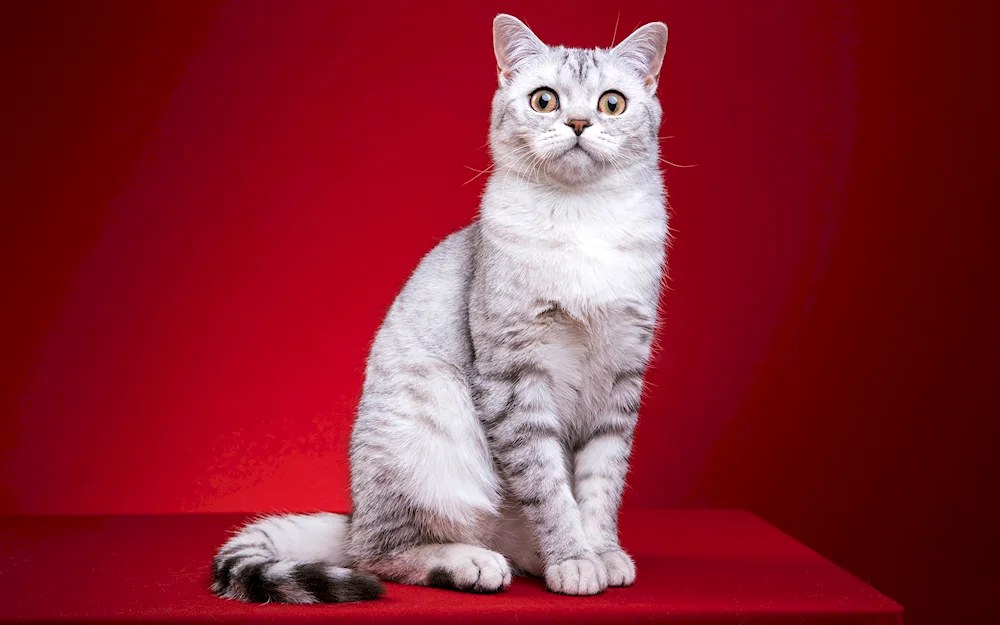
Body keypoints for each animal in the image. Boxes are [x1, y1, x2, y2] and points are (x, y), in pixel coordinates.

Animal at [208, 13, 668, 600]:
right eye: (544, 100)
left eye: (612, 103)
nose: (580, 123)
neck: (583, 220)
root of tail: (354, 515)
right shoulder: (514, 378)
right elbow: (548, 488)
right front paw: (574, 559)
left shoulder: (621, 377)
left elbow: (600, 485)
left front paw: (602, 552)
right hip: (433, 441)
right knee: (380, 554)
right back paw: (472, 562)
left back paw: (528, 557)